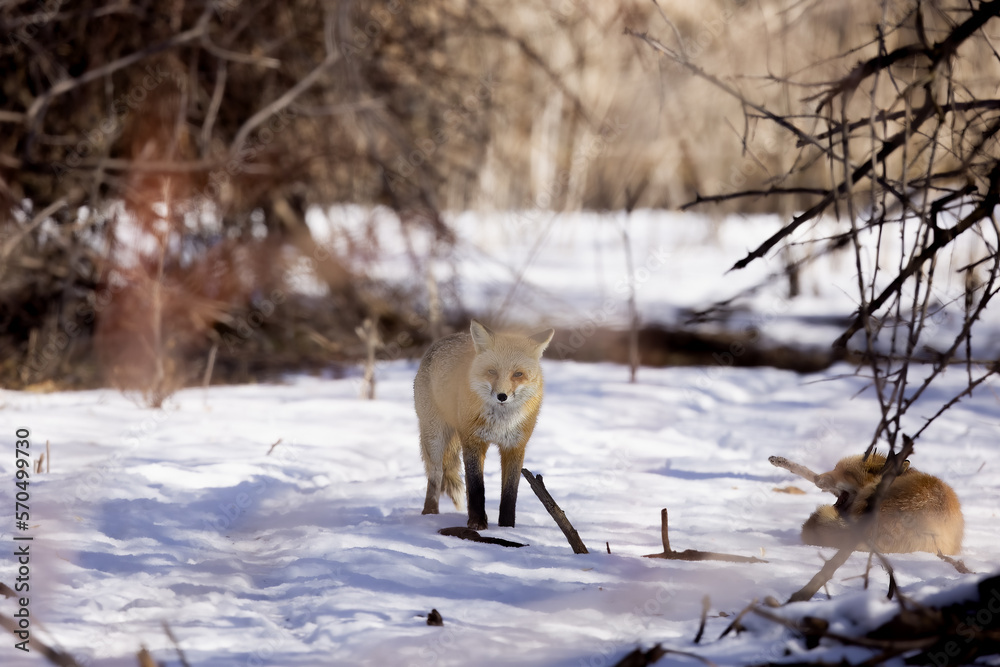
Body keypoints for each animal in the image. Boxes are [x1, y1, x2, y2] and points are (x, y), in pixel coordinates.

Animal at [415, 320, 554, 530]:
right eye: (492, 371)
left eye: (518, 374)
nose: (502, 396)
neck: (501, 422)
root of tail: (446, 338)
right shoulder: (473, 441)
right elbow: (476, 487)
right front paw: (477, 523)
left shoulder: (515, 446)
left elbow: (510, 493)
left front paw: (507, 527)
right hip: (435, 438)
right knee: (435, 476)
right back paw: (429, 513)